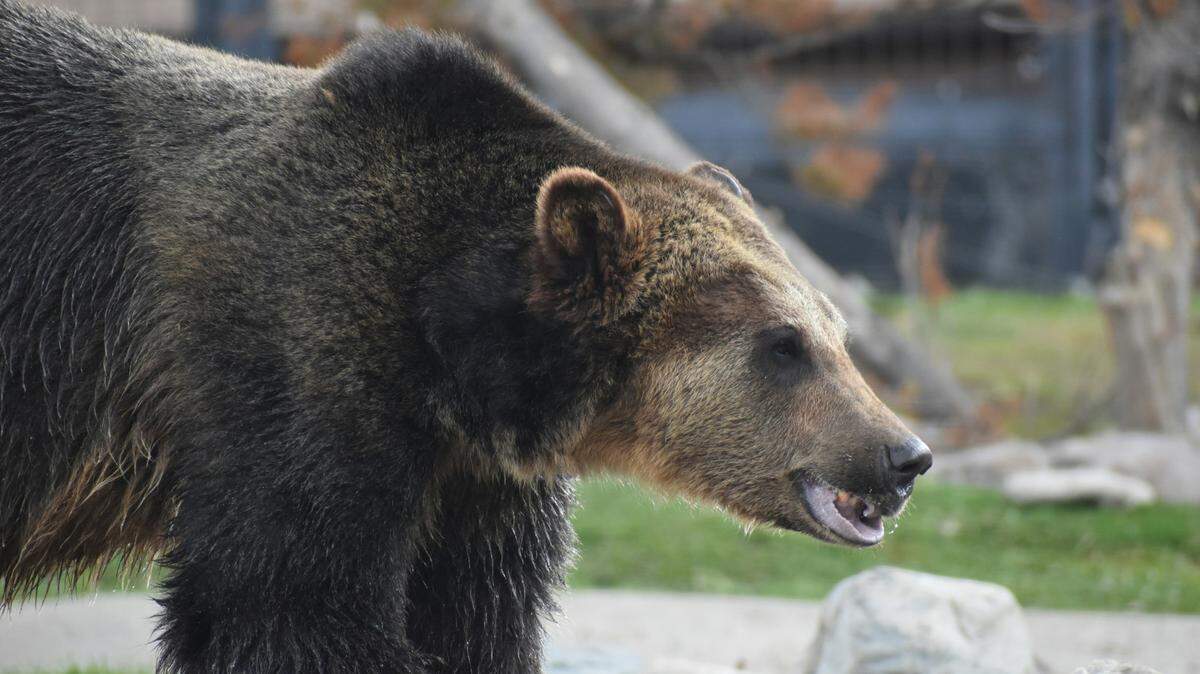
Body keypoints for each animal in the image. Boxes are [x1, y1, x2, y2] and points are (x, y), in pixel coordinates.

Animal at [0, 2, 932, 672]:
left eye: (835, 332)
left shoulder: (478, 486)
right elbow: (285, 604)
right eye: (782, 345)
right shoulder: (293, 369)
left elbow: (480, 618)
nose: (904, 454)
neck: (451, 355)